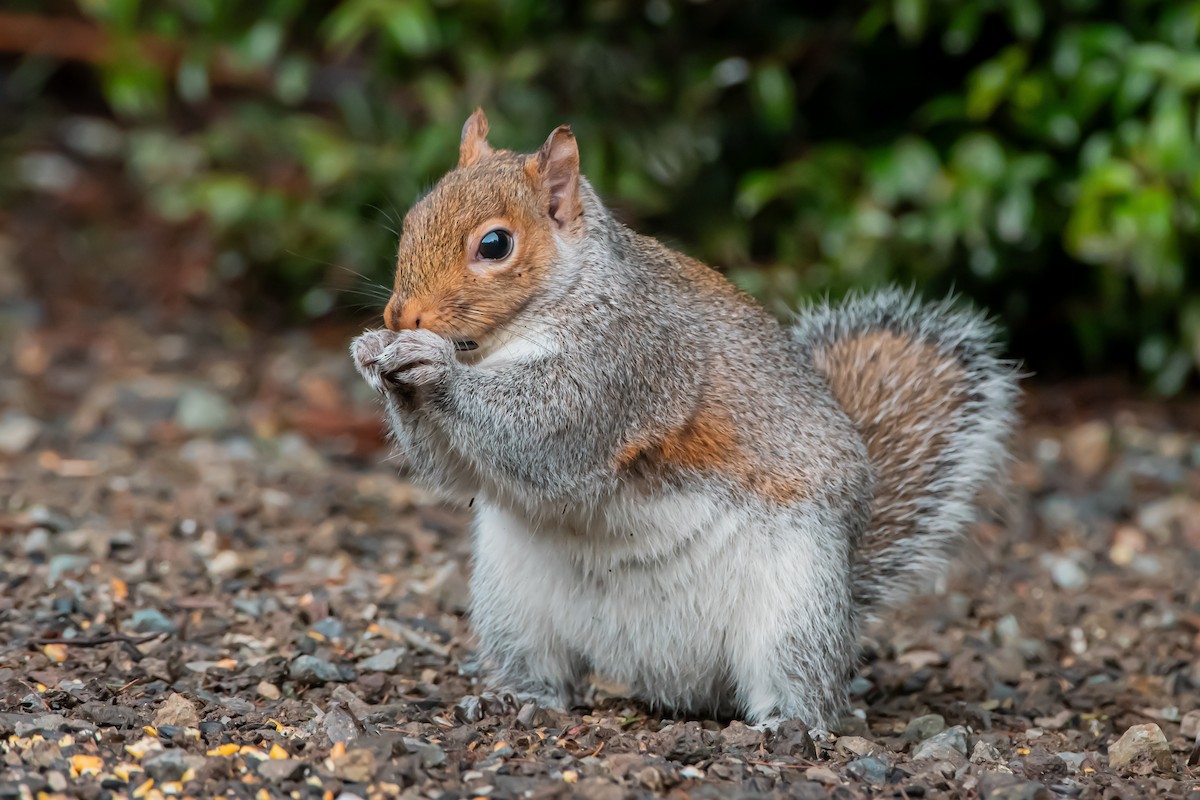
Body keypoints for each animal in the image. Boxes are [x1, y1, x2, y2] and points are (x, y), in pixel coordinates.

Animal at [351, 109, 1019, 730]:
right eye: (412, 219)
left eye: (494, 245)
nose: (400, 316)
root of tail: (671, 679)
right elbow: (455, 472)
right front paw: (372, 352)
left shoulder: (626, 363)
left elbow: (545, 433)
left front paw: (433, 366)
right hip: (511, 601)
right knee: (546, 673)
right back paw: (515, 698)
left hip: (795, 607)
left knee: (806, 685)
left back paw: (788, 725)